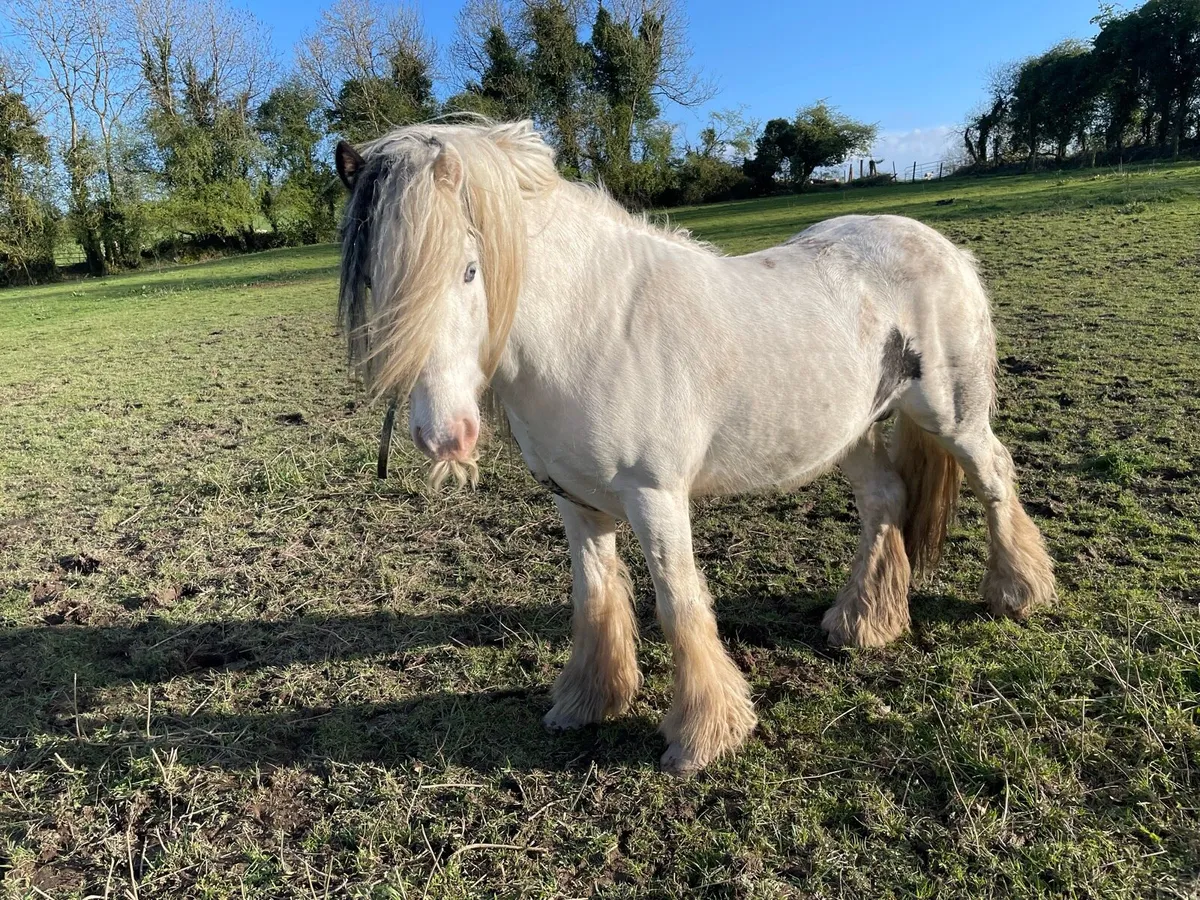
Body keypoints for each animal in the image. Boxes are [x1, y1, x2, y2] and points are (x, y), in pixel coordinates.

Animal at [333, 119, 1056, 775]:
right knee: (885, 498)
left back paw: (1018, 592)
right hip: (850, 430)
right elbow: (594, 597)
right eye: (374, 281)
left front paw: (702, 737)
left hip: (952, 416)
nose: (443, 436)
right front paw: (588, 702)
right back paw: (862, 623)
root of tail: (939, 244)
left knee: (995, 476)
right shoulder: (576, 502)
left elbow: (679, 603)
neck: (592, 327)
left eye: (469, 271)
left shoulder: (655, 497)